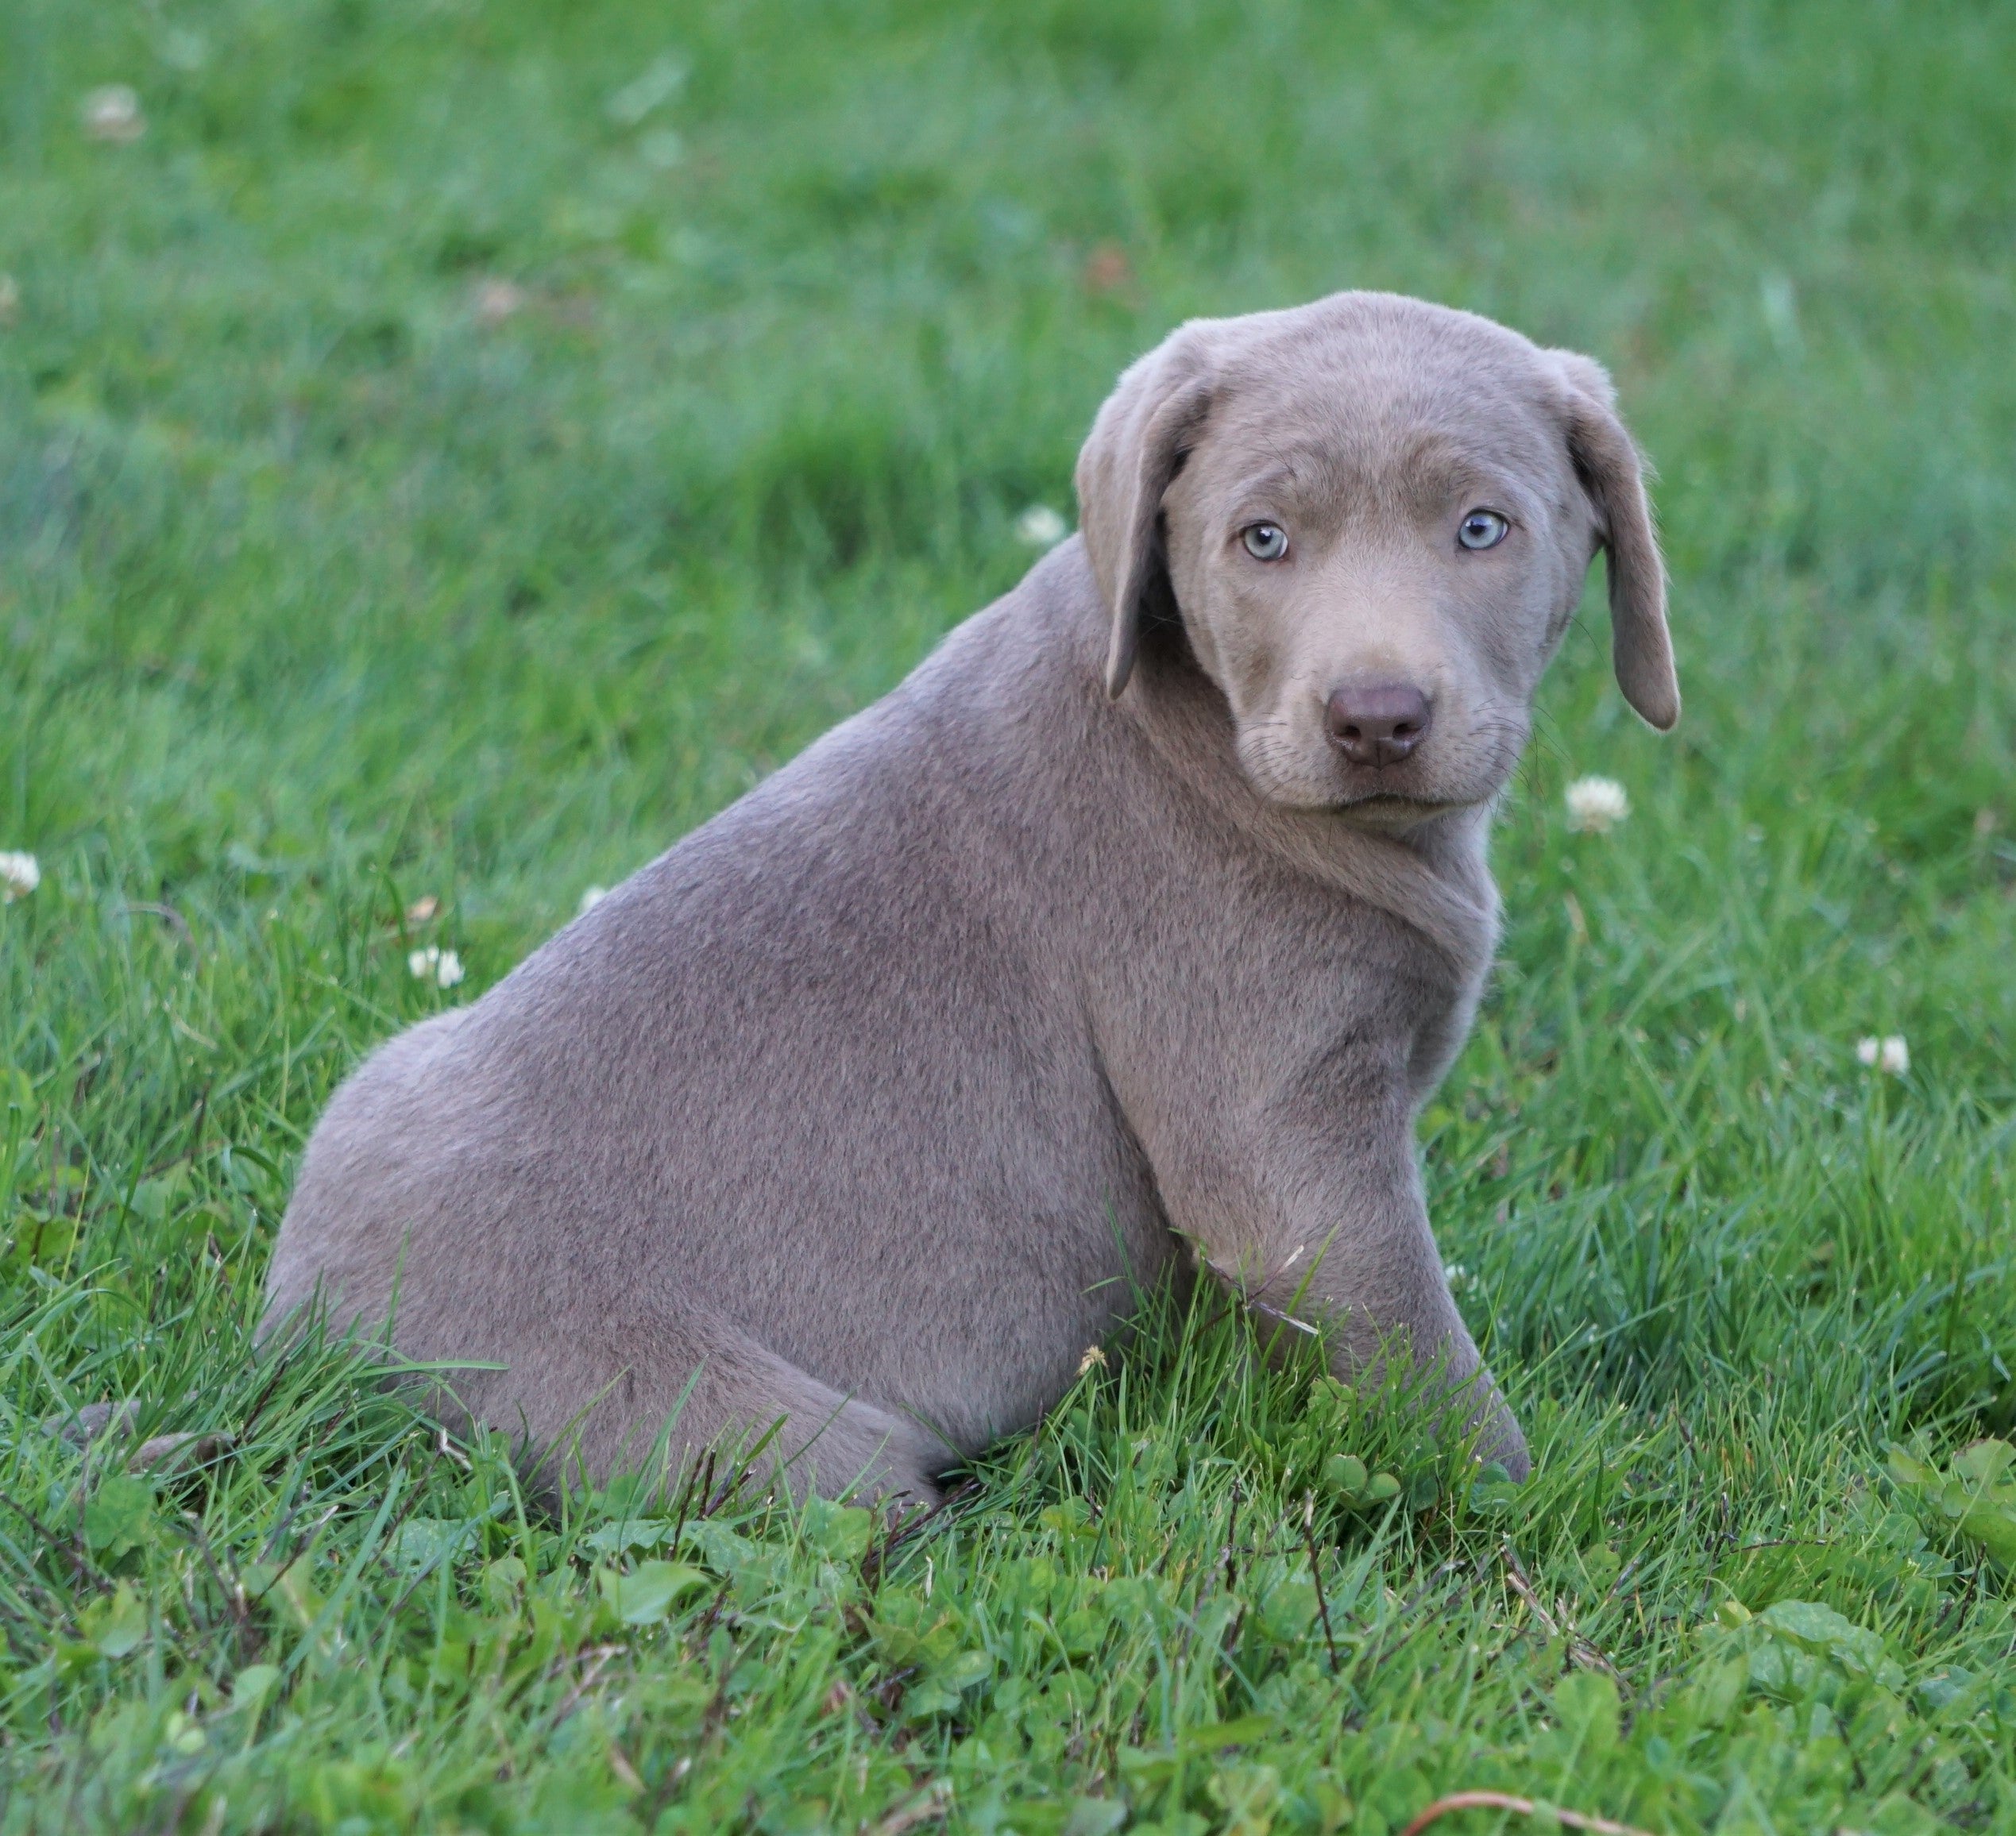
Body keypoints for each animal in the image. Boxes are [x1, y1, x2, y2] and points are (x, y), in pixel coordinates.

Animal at [272, 294, 1685, 1507]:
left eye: (1481, 529)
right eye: (1263, 539)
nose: (1376, 720)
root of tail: (307, 1340)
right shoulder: (1282, 1139)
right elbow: (1415, 1345)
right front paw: (1527, 1492)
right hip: (744, 1423)